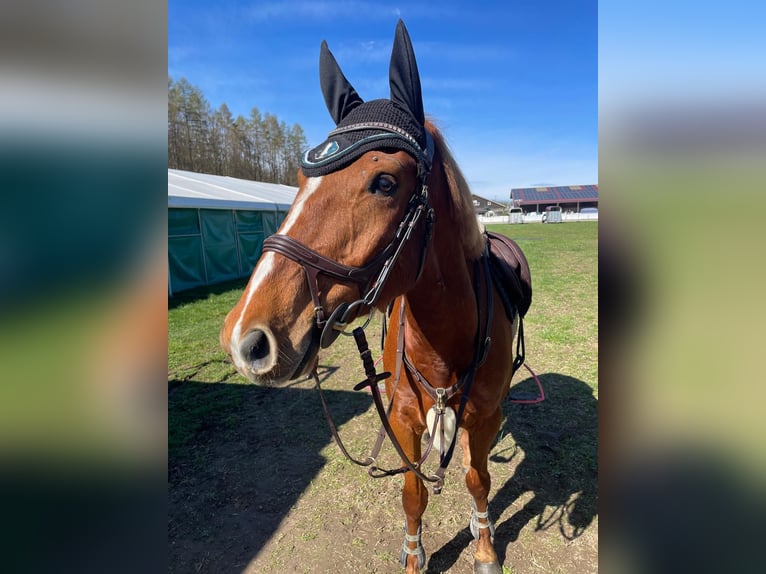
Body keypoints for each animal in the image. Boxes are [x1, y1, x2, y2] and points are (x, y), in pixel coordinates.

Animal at [222, 20, 532, 572]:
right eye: (300, 180)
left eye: (385, 182)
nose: (246, 340)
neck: (446, 344)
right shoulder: (404, 419)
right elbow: (413, 494)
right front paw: (414, 556)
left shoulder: (484, 418)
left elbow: (478, 480)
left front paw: (484, 546)